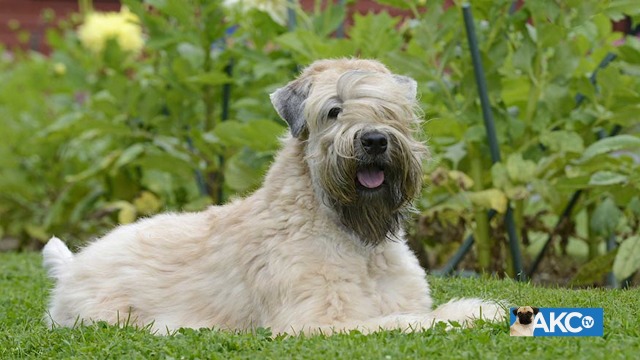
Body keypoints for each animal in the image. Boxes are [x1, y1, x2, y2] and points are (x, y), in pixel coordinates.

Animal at [42, 59, 504, 334]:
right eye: (334, 110)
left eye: (390, 108)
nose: (374, 140)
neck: (355, 237)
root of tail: (72, 267)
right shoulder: (320, 321)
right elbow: (410, 320)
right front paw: (474, 310)